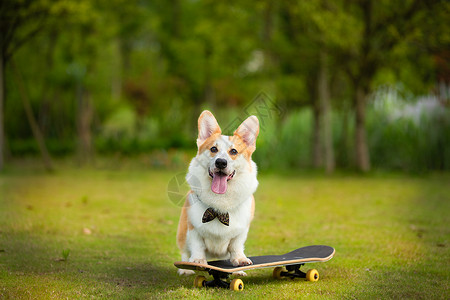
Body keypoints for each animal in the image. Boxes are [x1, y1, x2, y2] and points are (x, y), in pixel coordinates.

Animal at [177, 110, 260, 276]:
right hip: (181, 232)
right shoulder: (193, 227)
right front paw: (197, 261)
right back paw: (185, 268)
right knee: (184, 252)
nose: (221, 162)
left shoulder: (241, 230)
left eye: (233, 151)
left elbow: (236, 245)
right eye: (213, 149)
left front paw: (240, 262)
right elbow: (197, 245)